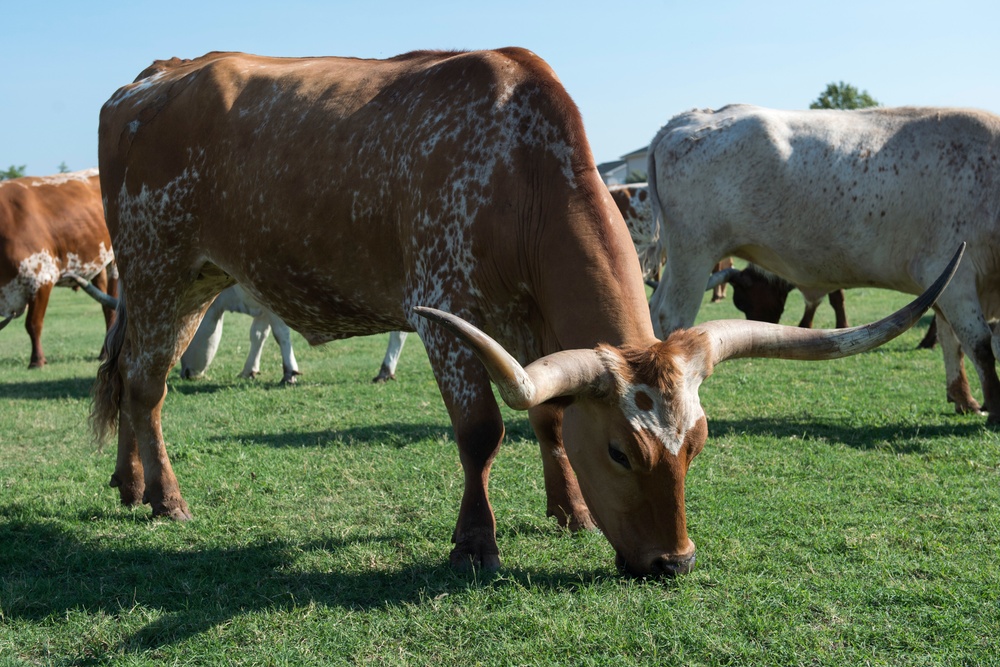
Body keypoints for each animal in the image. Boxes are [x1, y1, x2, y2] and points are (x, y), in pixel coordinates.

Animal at [95, 49, 960, 576]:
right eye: (620, 451)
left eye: (698, 443)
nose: (674, 561)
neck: (520, 172)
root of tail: (150, 78)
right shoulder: (444, 311)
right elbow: (481, 431)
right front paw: (476, 542)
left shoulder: (530, 325)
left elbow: (546, 415)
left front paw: (569, 511)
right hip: (157, 267)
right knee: (144, 385)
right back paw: (167, 498)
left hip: (194, 278)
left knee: (133, 379)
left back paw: (128, 483)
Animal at [648, 105, 1000, 422]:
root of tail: (694, 116)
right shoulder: (954, 275)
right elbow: (980, 344)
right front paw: (993, 407)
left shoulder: (943, 282)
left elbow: (952, 341)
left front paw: (964, 398)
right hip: (693, 255)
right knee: (671, 316)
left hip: (681, 259)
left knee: (652, 308)